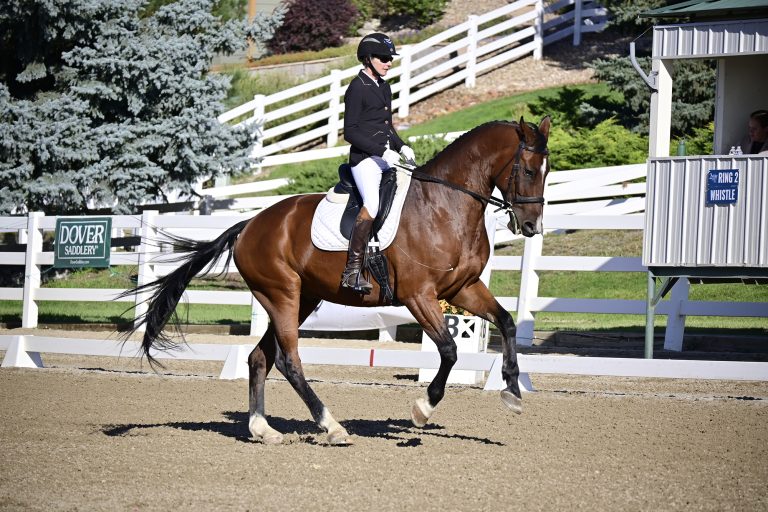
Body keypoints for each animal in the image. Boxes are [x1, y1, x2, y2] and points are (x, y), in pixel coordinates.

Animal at [124, 117, 551, 445]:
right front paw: (422, 409)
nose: (532, 227)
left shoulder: (462, 289)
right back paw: (331, 425)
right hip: (282, 294)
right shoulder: (419, 295)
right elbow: (448, 350)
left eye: (547, 173)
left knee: (260, 357)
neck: (444, 206)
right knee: (288, 360)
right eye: (529, 171)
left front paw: (512, 393)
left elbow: (506, 322)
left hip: (302, 298)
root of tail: (250, 224)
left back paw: (264, 430)